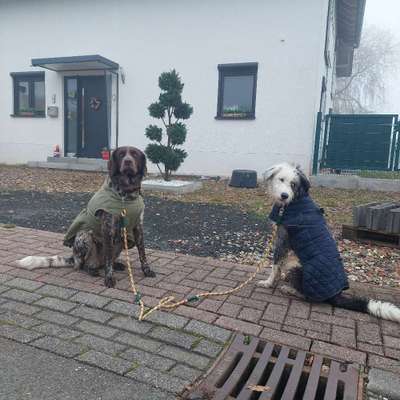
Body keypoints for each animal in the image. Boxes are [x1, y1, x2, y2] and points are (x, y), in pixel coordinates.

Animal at [17, 147, 155, 288]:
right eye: (121, 154)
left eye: (134, 154)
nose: (128, 161)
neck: (127, 195)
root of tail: (74, 258)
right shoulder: (108, 229)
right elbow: (108, 259)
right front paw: (109, 278)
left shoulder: (138, 227)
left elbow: (142, 253)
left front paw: (146, 270)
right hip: (84, 236)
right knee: (84, 264)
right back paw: (92, 269)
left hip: (120, 240)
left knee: (105, 261)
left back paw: (115, 265)